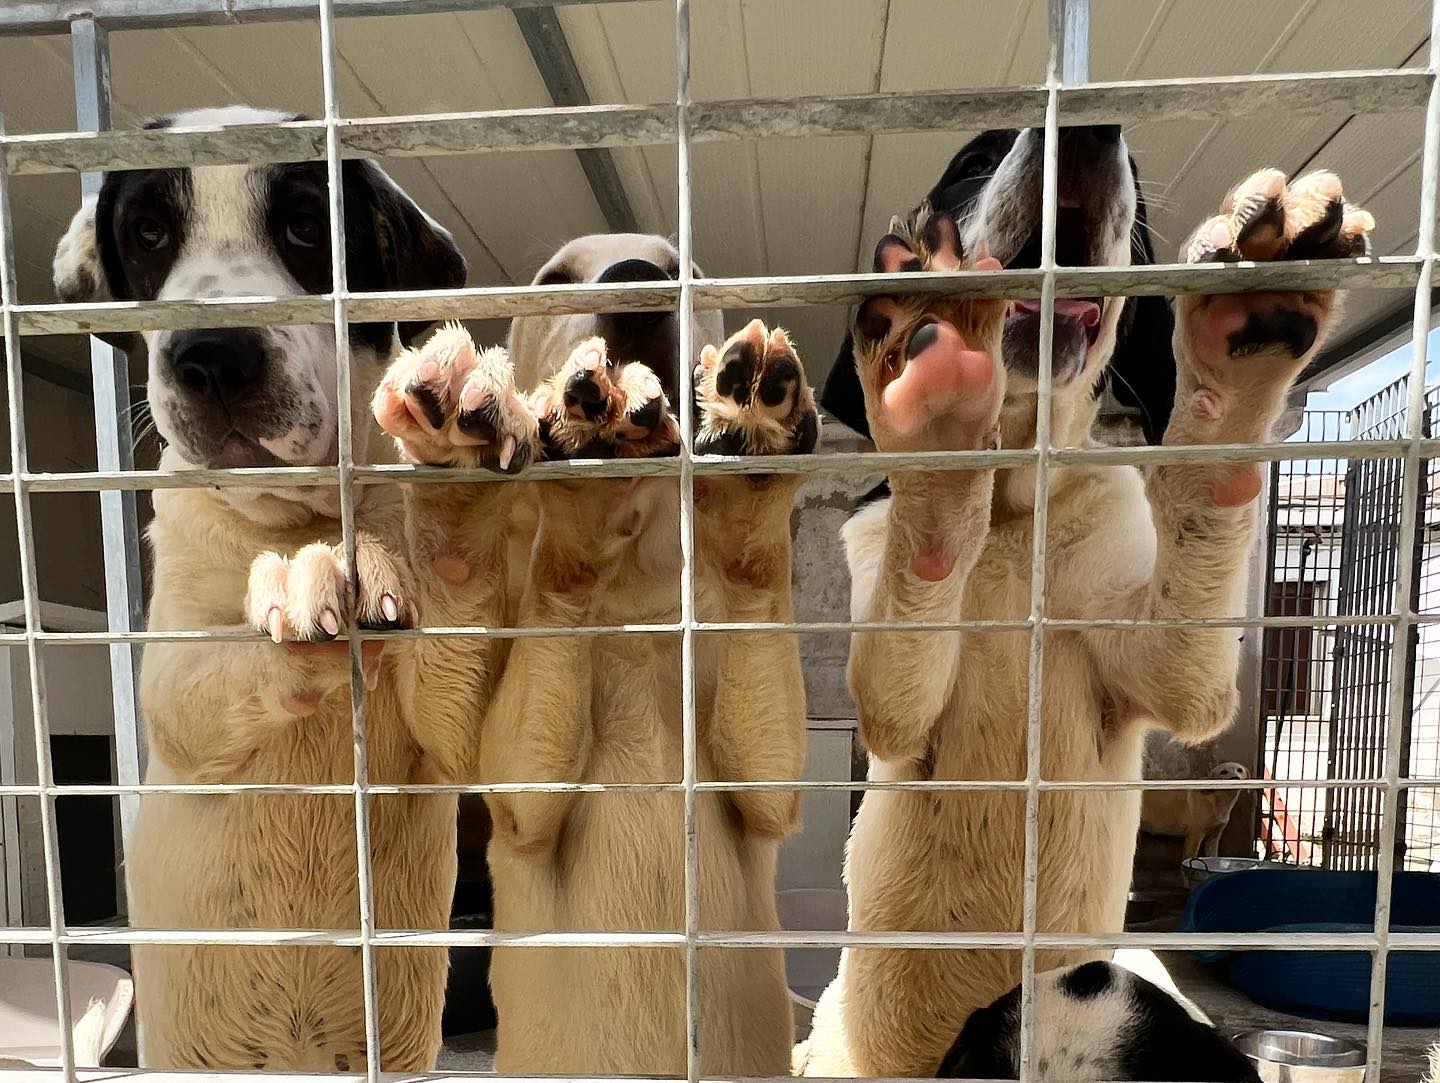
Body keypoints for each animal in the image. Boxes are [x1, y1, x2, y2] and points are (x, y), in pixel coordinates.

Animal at [50, 105, 538, 1071]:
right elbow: (216, 672)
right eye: (149, 233)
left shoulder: (451, 726)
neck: (297, 509)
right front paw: (304, 578)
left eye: (307, 225)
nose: (211, 355)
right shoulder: (174, 682)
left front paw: (456, 443)